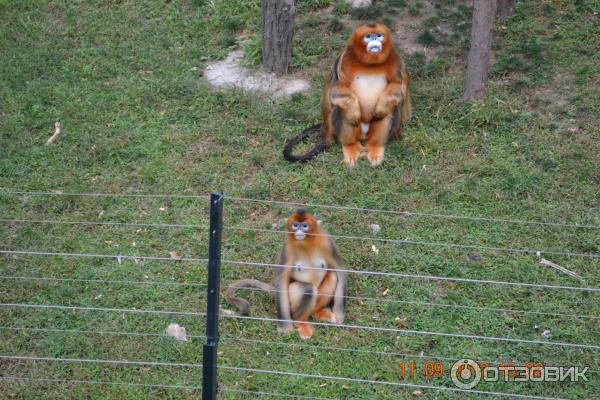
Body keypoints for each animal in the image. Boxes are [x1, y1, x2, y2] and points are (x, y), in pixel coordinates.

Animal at [225, 211, 346, 340]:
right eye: (295, 225)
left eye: (305, 226)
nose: (299, 231)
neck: (306, 243)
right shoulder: (288, 247)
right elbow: (282, 279)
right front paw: (285, 328)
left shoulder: (326, 241)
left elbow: (340, 270)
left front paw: (339, 315)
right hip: (290, 297)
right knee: (307, 288)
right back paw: (301, 322)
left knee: (333, 276)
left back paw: (318, 311)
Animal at [284, 22, 410, 166]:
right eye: (368, 36)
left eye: (379, 35)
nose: (374, 39)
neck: (370, 64)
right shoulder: (344, 58)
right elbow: (336, 88)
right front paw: (353, 110)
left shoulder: (395, 59)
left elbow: (397, 85)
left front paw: (381, 107)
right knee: (343, 109)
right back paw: (350, 146)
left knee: (386, 112)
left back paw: (375, 146)